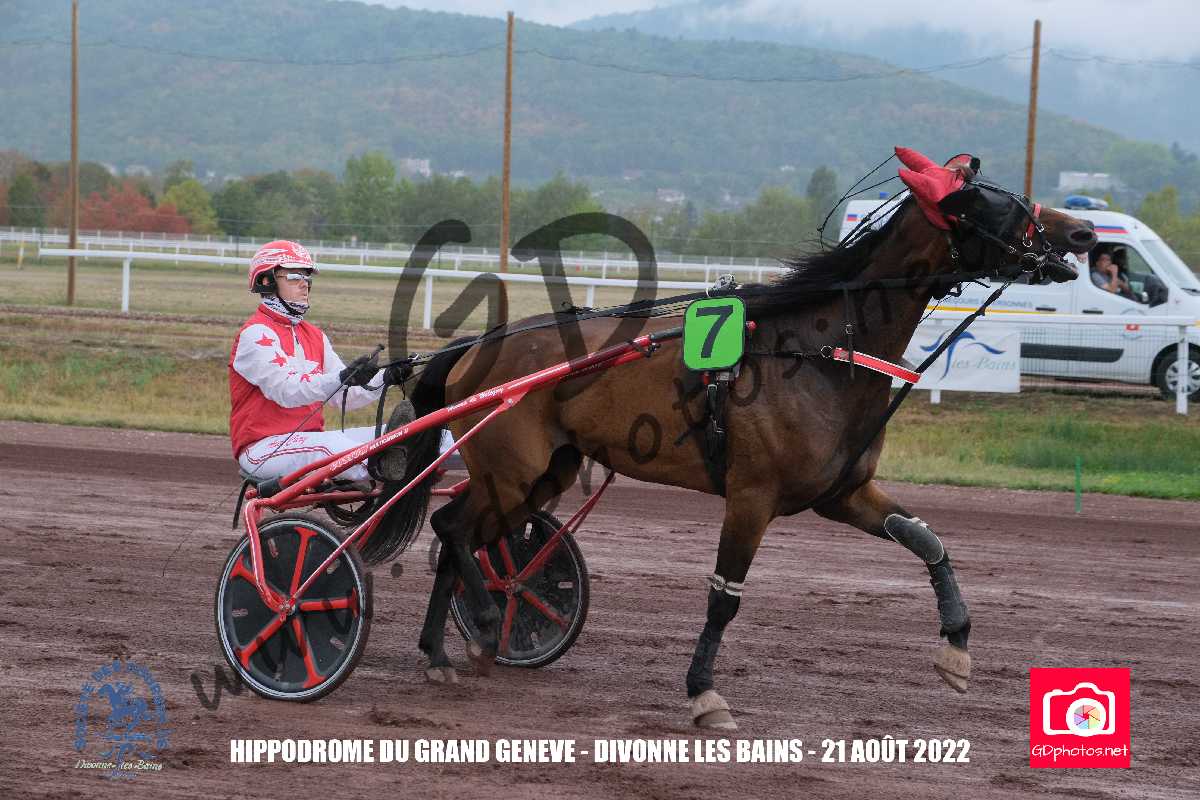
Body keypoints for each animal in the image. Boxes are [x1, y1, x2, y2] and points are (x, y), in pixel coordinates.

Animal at [387, 148, 1097, 729]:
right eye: (994, 203)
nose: (1083, 232)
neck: (819, 353)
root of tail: (473, 347)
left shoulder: (843, 493)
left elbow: (929, 542)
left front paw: (956, 648)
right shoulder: (752, 496)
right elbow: (724, 597)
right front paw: (704, 693)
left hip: (542, 473)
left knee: (460, 534)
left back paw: (439, 652)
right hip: (510, 471)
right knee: (453, 530)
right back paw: (482, 623)